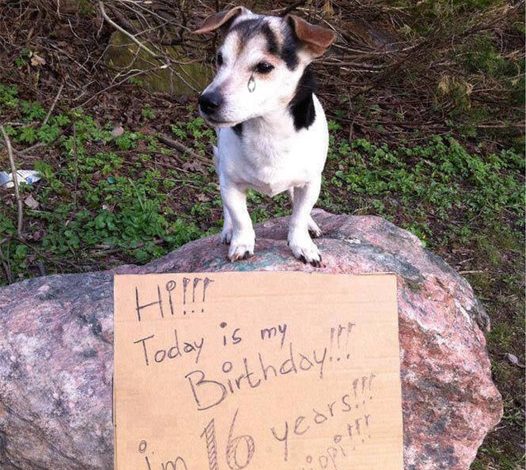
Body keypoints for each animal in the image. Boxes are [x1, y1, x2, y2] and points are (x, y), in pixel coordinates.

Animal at [195, 6, 338, 264]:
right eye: (220, 59)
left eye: (263, 67)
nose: (206, 101)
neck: (268, 129)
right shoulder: (230, 184)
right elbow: (241, 217)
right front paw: (242, 242)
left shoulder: (311, 182)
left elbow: (298, 216)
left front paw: (302, 243)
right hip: (219, 164)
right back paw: (228, 229)